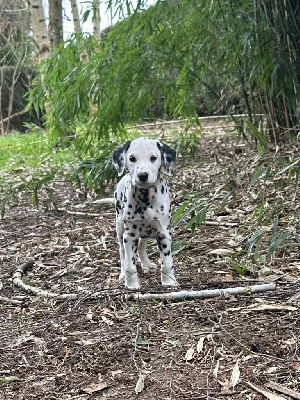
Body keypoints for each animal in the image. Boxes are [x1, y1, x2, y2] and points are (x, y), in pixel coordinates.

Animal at [98, 137, 178, 288]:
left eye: (153, 158)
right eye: (132, 158)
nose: (142, 175)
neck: (145, 197)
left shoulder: (164, 233)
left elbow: (167, 262)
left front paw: (169, 281)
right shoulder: (129, 235)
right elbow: (130, 264)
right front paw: (132, 285)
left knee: (141, 245)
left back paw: (146, 264)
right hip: (120, 228)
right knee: (122, 253)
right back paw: (123, 274)